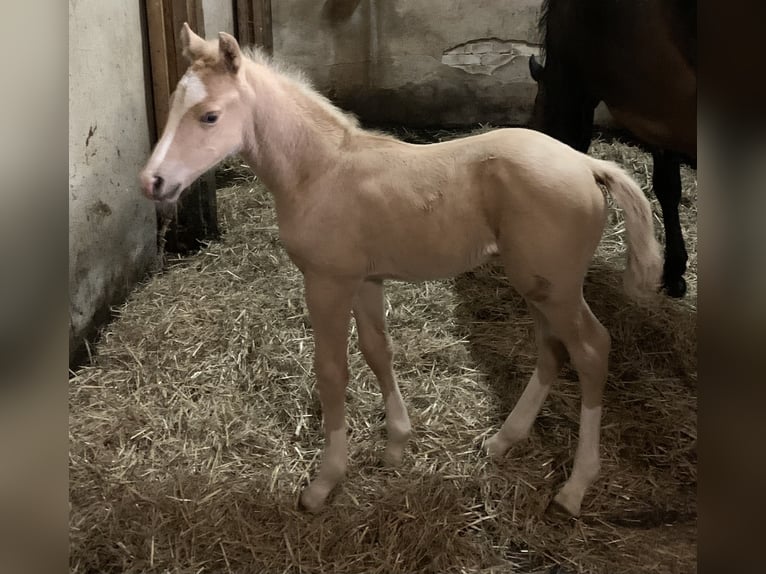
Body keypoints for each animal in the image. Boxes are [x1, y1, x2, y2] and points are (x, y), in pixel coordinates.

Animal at [140, 25, 664, 516]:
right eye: (174, 105)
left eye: (209, 116)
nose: (153, 182)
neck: (320, 171)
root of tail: (587, 163)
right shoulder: (365, 280)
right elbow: (378, 351)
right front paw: (396, 444)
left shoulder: (326, 282)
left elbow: (332, 371)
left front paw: (325, 482)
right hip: (538, 284)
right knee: (551, 349)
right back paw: (502, 440)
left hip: (556, 288)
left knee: (591, 350)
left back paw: (575, 487)